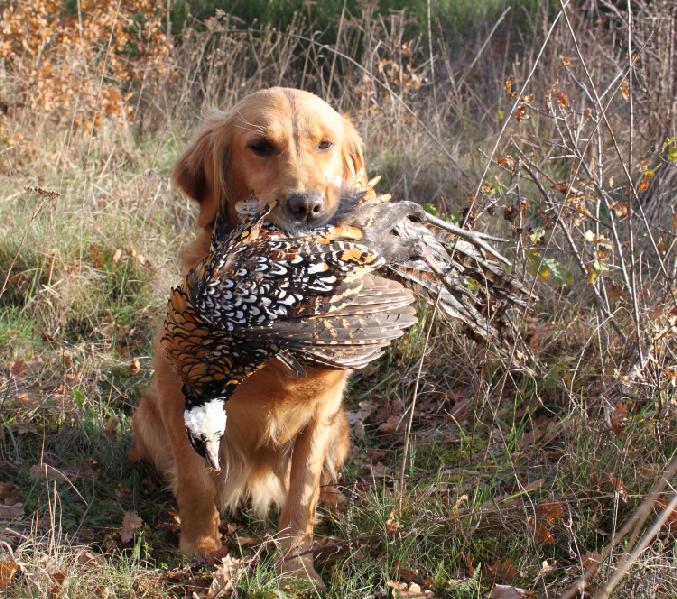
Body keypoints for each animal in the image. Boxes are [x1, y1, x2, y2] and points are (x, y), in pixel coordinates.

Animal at [129, 86, 368, 584]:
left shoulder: (321, 413)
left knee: (320, 483)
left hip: (340, 428)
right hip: (147, 414)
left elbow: (301, 497)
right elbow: (196, 483)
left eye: (325, 144)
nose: (307, 206)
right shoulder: (180, 397)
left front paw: (296, 568)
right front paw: (201, 549)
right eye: (260, 147)